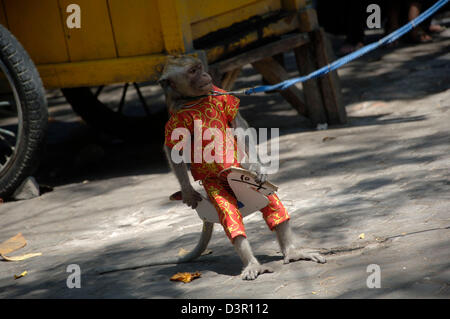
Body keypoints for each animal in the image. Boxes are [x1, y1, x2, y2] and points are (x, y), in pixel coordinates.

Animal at [96, 56, 326, 278]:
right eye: (192, 71)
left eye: (199, 67)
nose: (205, 75)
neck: (194, 99)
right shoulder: (176, 117)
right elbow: (171, 147)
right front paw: (188, 192)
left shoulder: (221, 93)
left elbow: (238, 124)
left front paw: (256, 167)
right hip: (213, 185)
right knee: (229, 215)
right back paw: (251, 263)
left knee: (273, 206)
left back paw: (292, 252)